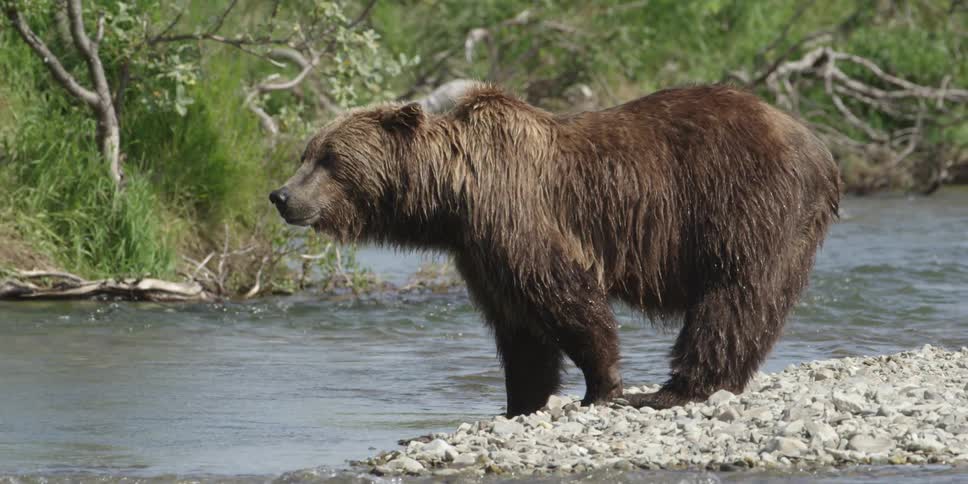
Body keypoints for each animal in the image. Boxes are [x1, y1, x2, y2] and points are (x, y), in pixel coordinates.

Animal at [269, 84, 841, 417]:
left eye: (329, 158)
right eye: (306, 153)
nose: (281, 196)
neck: (452, 196)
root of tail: (820, 144)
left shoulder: (520, 217)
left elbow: (563, 296)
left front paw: (603, 384)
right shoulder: (479, 252)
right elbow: (519, 331)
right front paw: (520, 402)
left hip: (746, 202)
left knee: (734, 296)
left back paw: (671, 390)